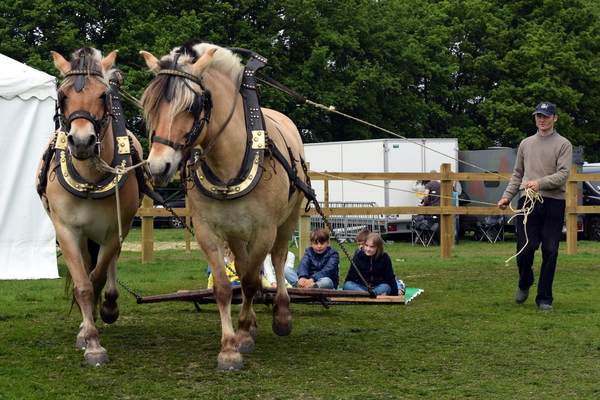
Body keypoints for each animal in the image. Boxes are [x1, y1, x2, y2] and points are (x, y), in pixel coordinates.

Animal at [36, 47, 144, 366]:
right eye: (61, 95)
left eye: (103, 94)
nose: (82, 141)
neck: (90, 179)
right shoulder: (67, 231)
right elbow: (83, 285)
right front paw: (90, 340)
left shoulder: (114, 231)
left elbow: (97, 279)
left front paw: (99, 323)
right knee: (85, 265)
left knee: (108, 268)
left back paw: (106, 307)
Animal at [139, 40, 310, 368]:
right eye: (149, 107)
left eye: (191, 106)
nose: (157, 167)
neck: (229, 165)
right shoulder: (208, 232)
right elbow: (224, 286)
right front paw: (230, 346)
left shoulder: (264, 231)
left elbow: (252, 280)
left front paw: (242, 334)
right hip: (236, 232)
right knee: (243, 267)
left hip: (287, 219)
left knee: (278, 258)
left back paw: (281, 314)